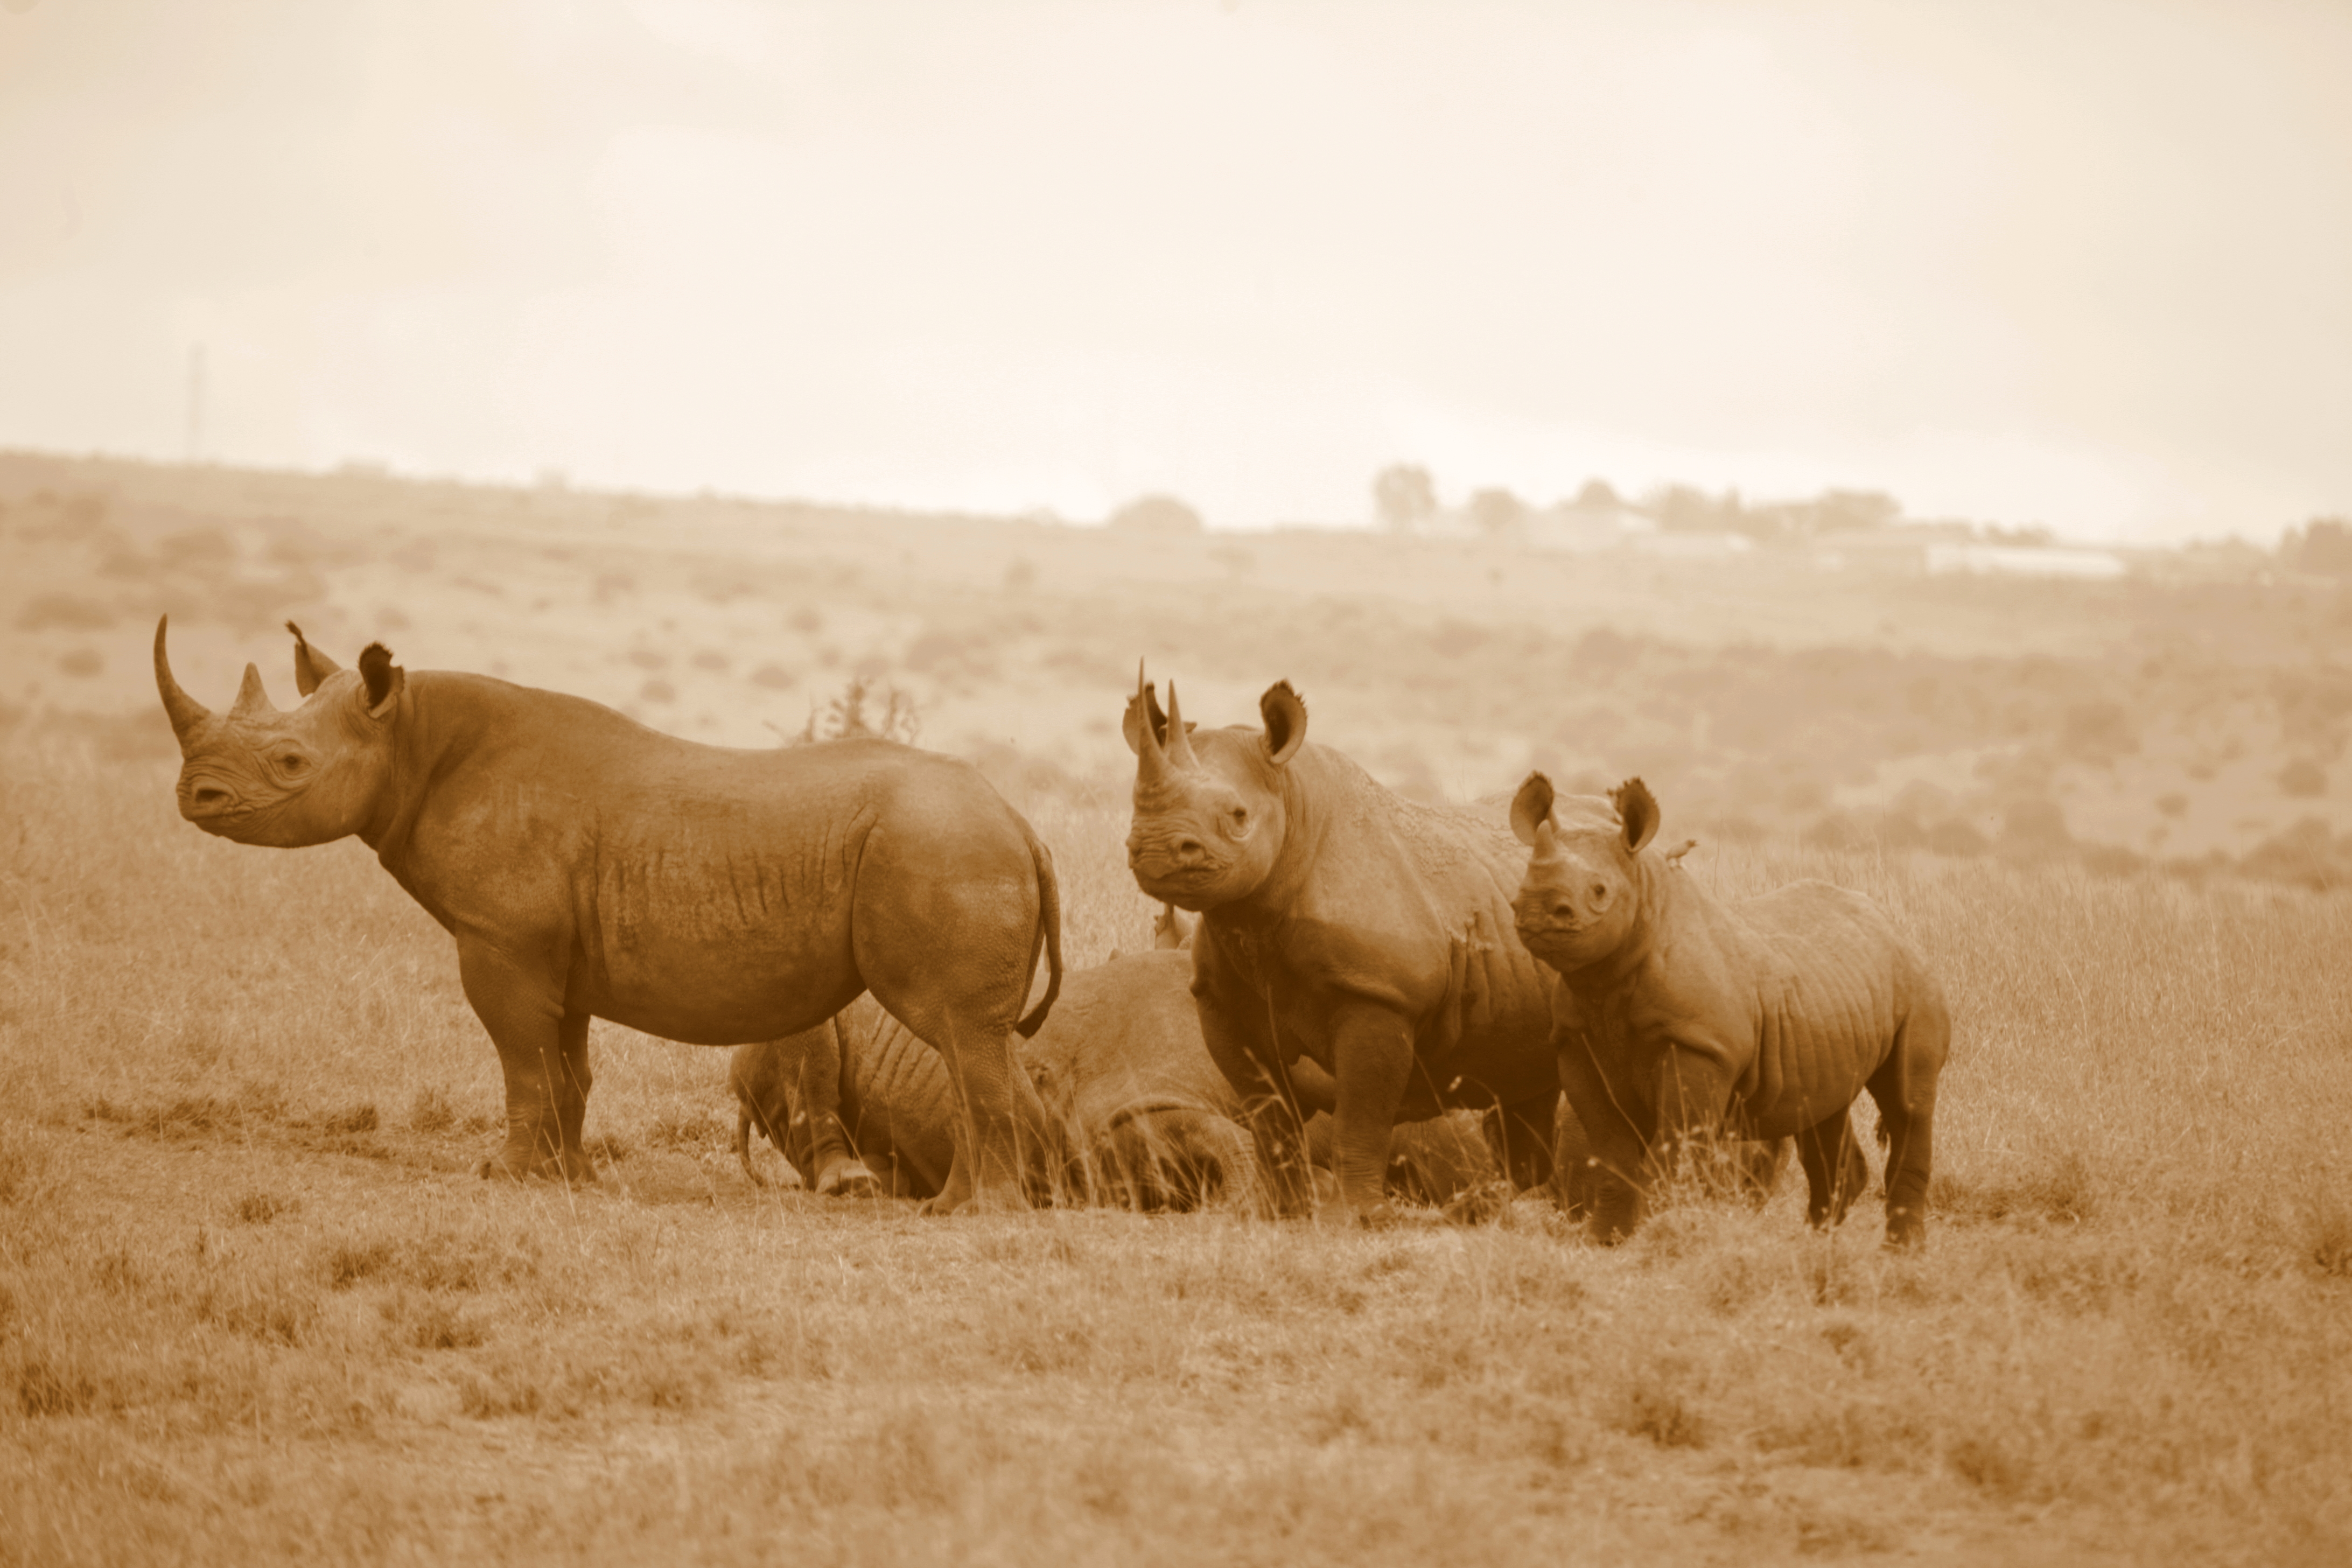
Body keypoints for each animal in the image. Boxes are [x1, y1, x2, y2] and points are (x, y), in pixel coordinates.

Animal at [154, 620, 1058, 1213]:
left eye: (289, 762)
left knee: (958, 1034)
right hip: (956, 846)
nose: (195, 798)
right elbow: (567, 1067)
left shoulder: (501, 939)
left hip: (945, 849)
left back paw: (973, 1215)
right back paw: (959, 1207)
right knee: (968, 1043)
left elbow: (520, 1058)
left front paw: (505, 1177)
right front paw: (569, 1177)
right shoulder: (554, 952)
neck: (408, 738)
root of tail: (1021, 823)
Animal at [1119, 667, 1562, 1222]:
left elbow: (1361, 1114)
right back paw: (1487, 1211)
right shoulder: (1222, 1002)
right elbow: (1269, 1113)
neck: (1292, 804)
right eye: (1133, 806)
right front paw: (1282, 1212)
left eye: (1238, 816)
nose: (1157, 849)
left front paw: (1359, 1218)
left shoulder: (1380, 994)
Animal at [1505, 775, 1947, 1250]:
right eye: (1521, 885)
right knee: (1824, 1108)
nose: (1534, 909)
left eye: (1599, 891)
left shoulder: (1699, 1044)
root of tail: (1896, 928)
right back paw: (1813, 1243)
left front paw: (1665, 1236)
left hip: (1918, 982)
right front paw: (1604, 1241)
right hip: (1837, 995)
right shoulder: (1575, 1044)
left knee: (1907, 1104)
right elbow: (1610, 1150)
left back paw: (1901, 1251)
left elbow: (1673, 1148)